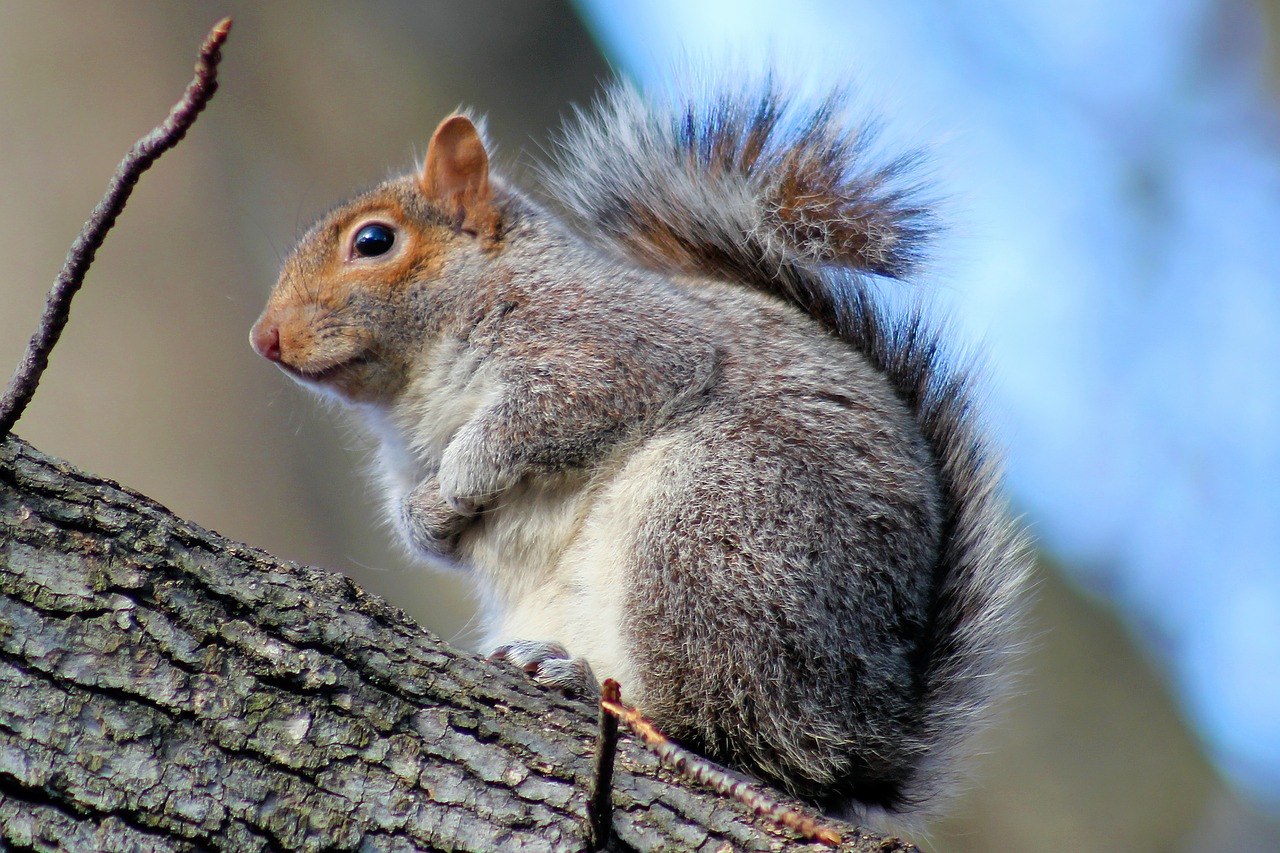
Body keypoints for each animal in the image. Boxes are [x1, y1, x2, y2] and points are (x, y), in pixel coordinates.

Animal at [249, 74, 1029, 824]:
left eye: (374, 242)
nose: (265, 339)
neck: (413, 391)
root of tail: (864, 737)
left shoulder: (611, 343)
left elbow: (544, 415)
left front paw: (465, 477)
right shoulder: (407, 455)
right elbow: (429, 533)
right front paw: (429, 516)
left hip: (711, 533)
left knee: (714, 723)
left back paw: (581, 679)